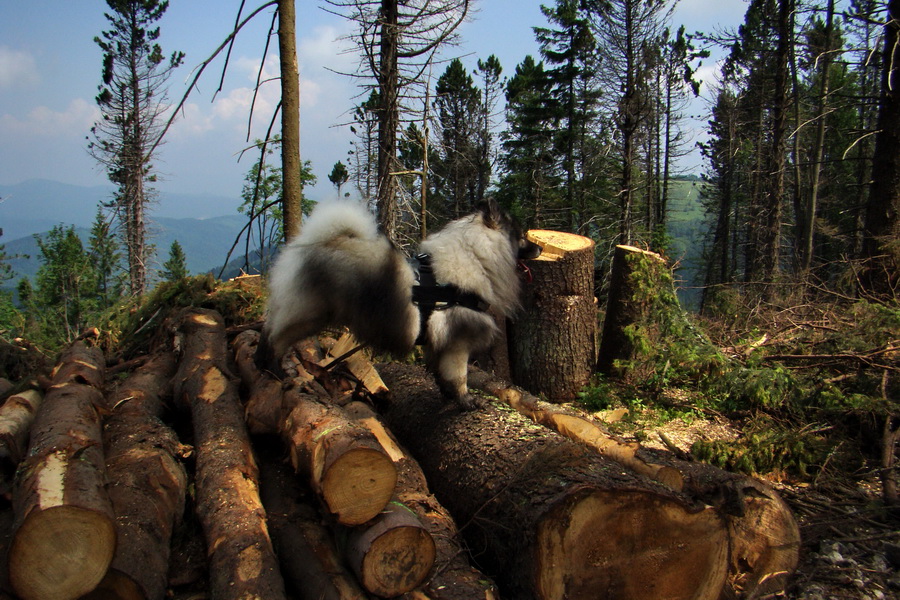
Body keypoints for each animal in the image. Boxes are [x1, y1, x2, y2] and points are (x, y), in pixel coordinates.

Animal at [260, 199, 540, 410]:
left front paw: (448, 396)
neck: (476, 257)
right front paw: (466, 402)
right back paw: (274, 371)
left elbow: (441, 373)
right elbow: (459, 376)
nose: (538, 247)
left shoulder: (437, 342)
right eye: (520, 237)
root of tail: (318, 243)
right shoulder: (457, 343)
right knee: (274, 338)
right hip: (308, 315)